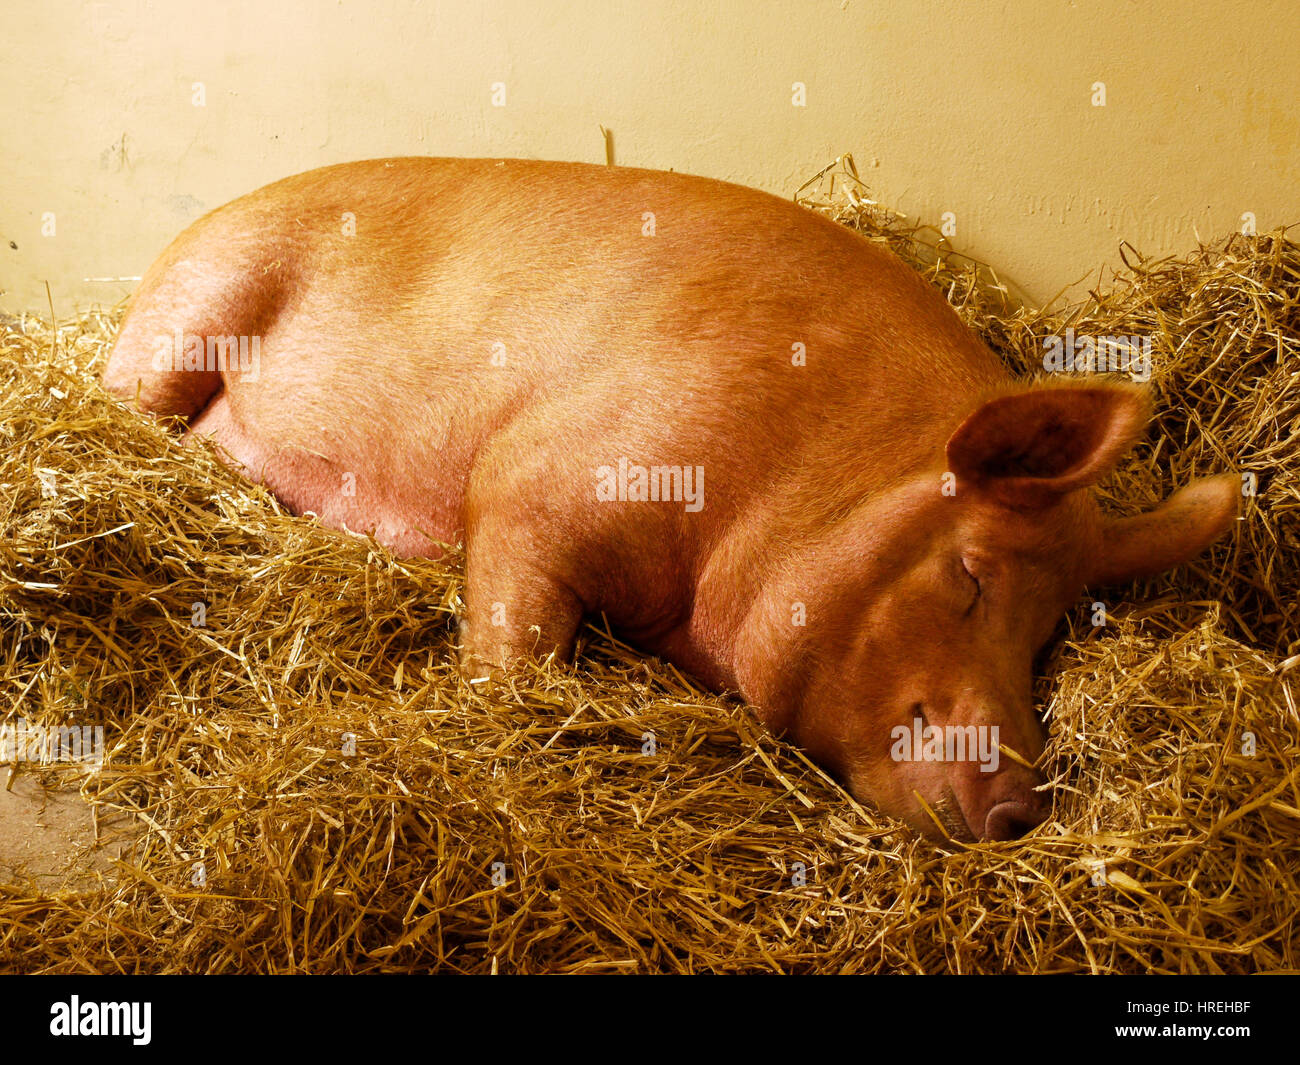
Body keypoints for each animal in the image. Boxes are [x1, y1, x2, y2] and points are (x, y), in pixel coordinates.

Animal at [101, 157, 1237, 842]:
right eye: (969, 575)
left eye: (1055, 630)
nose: (1020, 808)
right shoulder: (532, 486)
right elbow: (511, 653)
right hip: (190, 308)